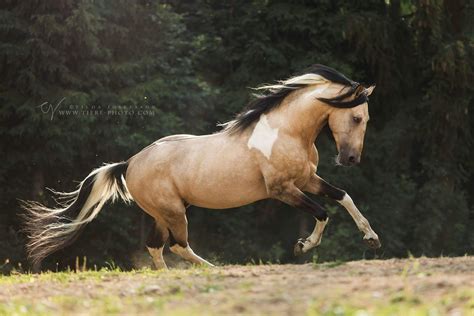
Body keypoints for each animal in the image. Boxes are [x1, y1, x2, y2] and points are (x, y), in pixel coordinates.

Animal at [22, 63, 382, 270]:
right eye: (356, 117)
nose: (351, 159)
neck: (286, 131)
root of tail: (129, 163)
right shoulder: (282, 190)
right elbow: (322, 212)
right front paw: (303, 246)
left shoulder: (307, 179)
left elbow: (342, 196)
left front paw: (371, 238)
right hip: (173, 212)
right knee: (178, 246)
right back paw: (212, 269)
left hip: (163, 213)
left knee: (157, 247)